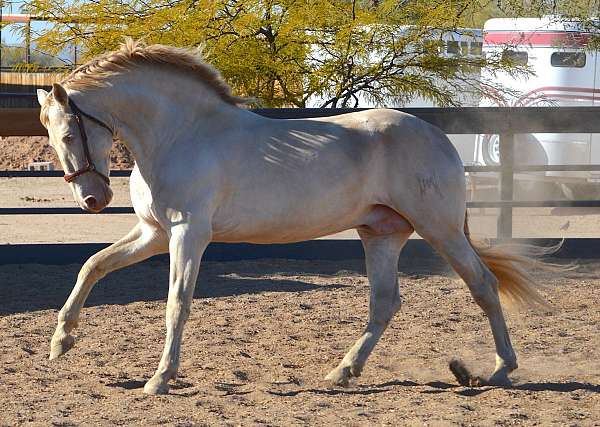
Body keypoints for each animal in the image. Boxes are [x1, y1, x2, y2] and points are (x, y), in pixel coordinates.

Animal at [38, 39, 548, 394]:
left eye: (69, 133)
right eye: (53, 136)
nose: (92, 199)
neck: (182, 134)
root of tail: (437, 137)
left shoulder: (188, 235)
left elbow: (176, 304)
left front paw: (159, 380)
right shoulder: (153, 233)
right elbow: (92, 266)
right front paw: (61, 342)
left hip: (439, 229)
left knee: (482, 285)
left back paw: (500, 370)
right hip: (381, 234)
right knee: (385, 302)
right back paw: (343, 372)